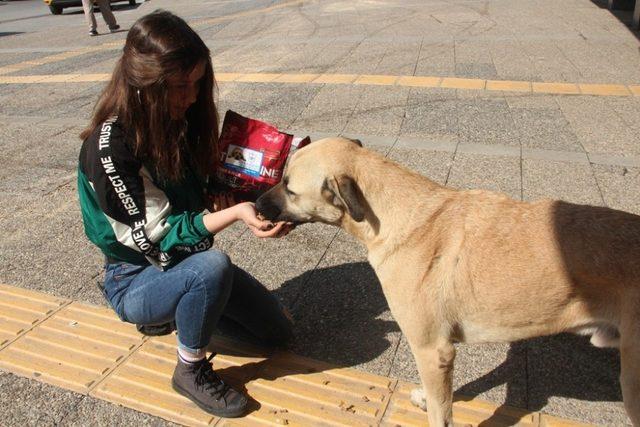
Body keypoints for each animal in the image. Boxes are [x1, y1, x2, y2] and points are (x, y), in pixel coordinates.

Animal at [256, 139, 640, 426]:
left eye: (289, 188)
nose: (255, 204)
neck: (399, 214)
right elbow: (442, 397)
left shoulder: (432, 349)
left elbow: (442, 414)